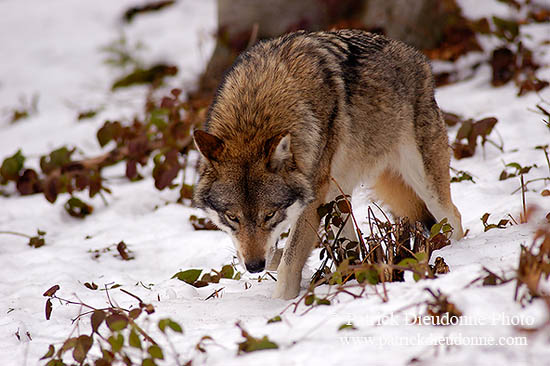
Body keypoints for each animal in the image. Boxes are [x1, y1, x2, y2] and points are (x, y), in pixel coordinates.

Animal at [194, 30, 466, 300]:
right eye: (232, 217)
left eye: (269, 214)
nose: (254, 266)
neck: (256, 107)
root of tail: (419, 58)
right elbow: (275, 255)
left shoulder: (312, 201)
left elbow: (288, 264)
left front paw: (281, 302)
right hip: (340, 197)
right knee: (352, 247)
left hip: (424, 182)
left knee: (453, 215)